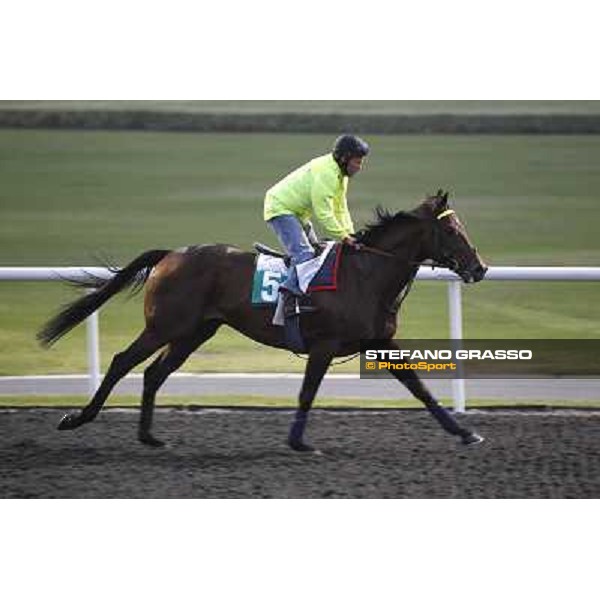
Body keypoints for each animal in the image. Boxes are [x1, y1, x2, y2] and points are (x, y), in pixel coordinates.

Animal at [37, 190, 488, 452]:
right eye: (451, 230)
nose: (479, 268)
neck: (367, 274)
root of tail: (171, 254)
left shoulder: (380, 343)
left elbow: (421, 389)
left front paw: (464, 432)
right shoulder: (324, 346)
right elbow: (307, 393)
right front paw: (298, 442)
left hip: (193, 332)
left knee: (152, 373)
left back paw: (149, 436)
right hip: (165, 326)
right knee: (121, 362)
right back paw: (77, 418)